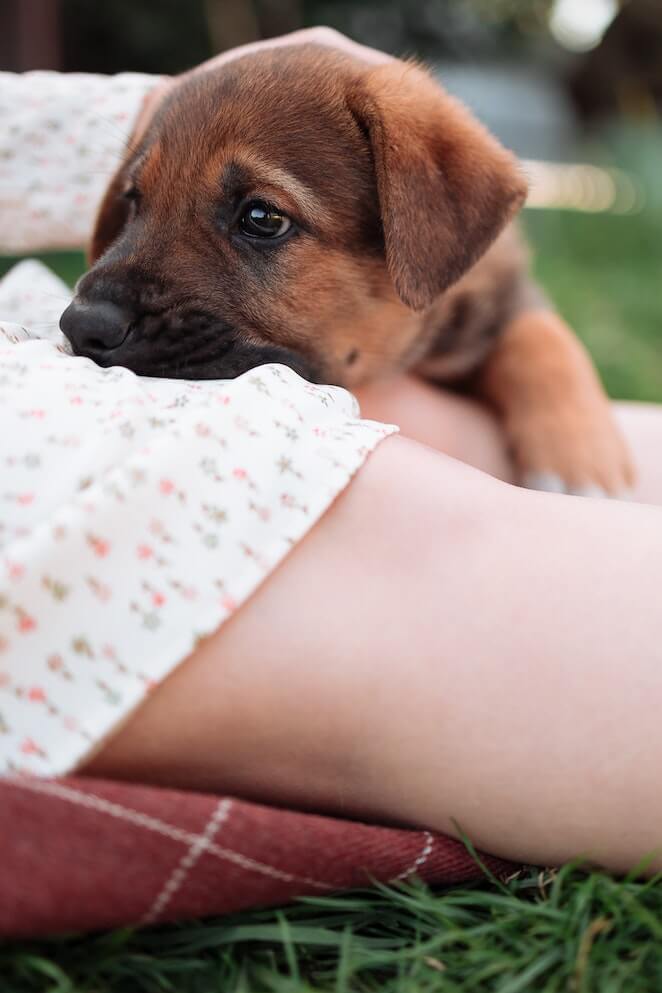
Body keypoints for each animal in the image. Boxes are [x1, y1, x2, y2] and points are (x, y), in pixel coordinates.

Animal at [61, 44, 632, 494]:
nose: (81, 324)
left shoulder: (503, 291)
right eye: (135, 201)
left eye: (262, 218)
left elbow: (541, 334)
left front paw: (581, 462)